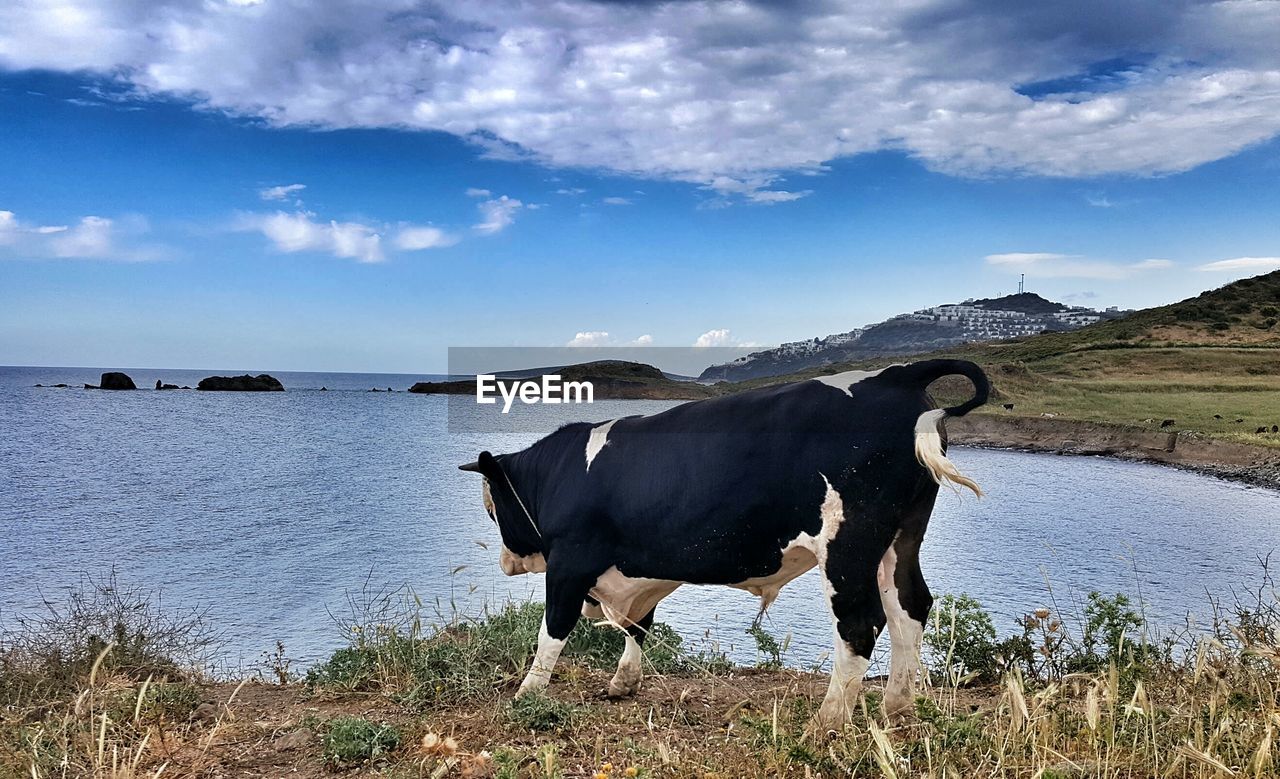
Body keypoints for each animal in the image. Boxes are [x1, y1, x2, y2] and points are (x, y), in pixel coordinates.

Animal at [460, 358, 988, 726]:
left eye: (492, 508)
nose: (506, 561)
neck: (562, 472)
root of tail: (897, 375)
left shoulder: (570, 562)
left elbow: (553, 630)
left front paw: (527, 693)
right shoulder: (638, 569)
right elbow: (639, 626)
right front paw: (623, 683)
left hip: (849, 544)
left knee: (860, 623)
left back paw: (828, 720)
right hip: (900, 539)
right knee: (910, 608)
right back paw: (897, 707)